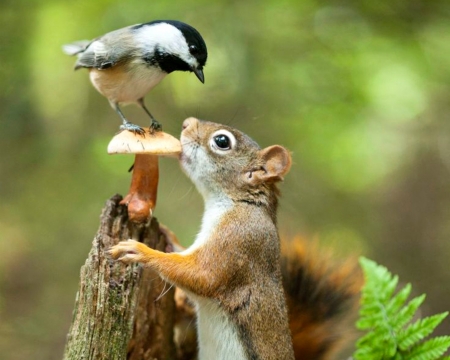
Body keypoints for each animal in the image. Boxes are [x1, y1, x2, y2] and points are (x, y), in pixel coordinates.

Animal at [110, 117, 364, 360]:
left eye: (222, 141)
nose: (186, 123)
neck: (238, 202)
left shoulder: (239, 240)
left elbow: (203, 276)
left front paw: (140, 251)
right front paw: (166, 232)